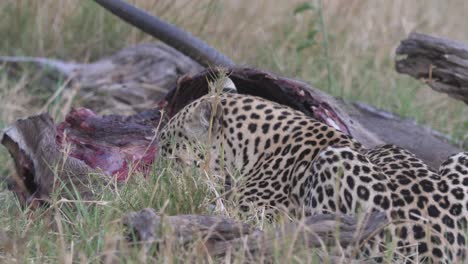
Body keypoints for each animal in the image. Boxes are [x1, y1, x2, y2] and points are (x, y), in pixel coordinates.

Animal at [158, 86, 468, 262]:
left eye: (167, 144)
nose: (156, 176)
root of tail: (442, 251)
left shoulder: (257, 214)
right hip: (460, 157)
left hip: (337, 165)